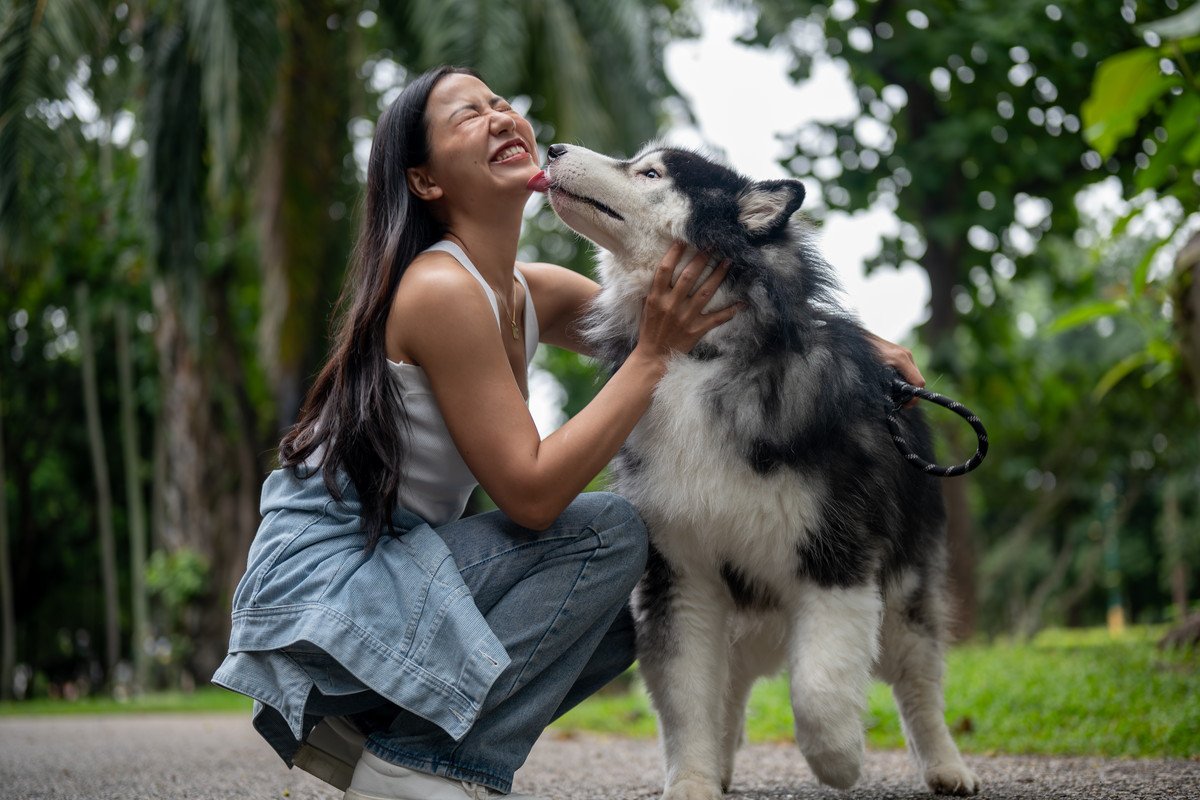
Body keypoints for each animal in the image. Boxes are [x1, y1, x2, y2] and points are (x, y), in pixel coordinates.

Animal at [535, 143, 984, 800]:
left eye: (651, 172)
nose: (553, 148)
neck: (701, 357)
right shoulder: (681, 575)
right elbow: (686, 698)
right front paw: (691, 781)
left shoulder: (836, 561)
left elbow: (817, 690)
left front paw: (839, 762)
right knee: (730, 689)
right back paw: (720, 767)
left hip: (904, 595)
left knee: (919, 686)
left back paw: (947, 766)